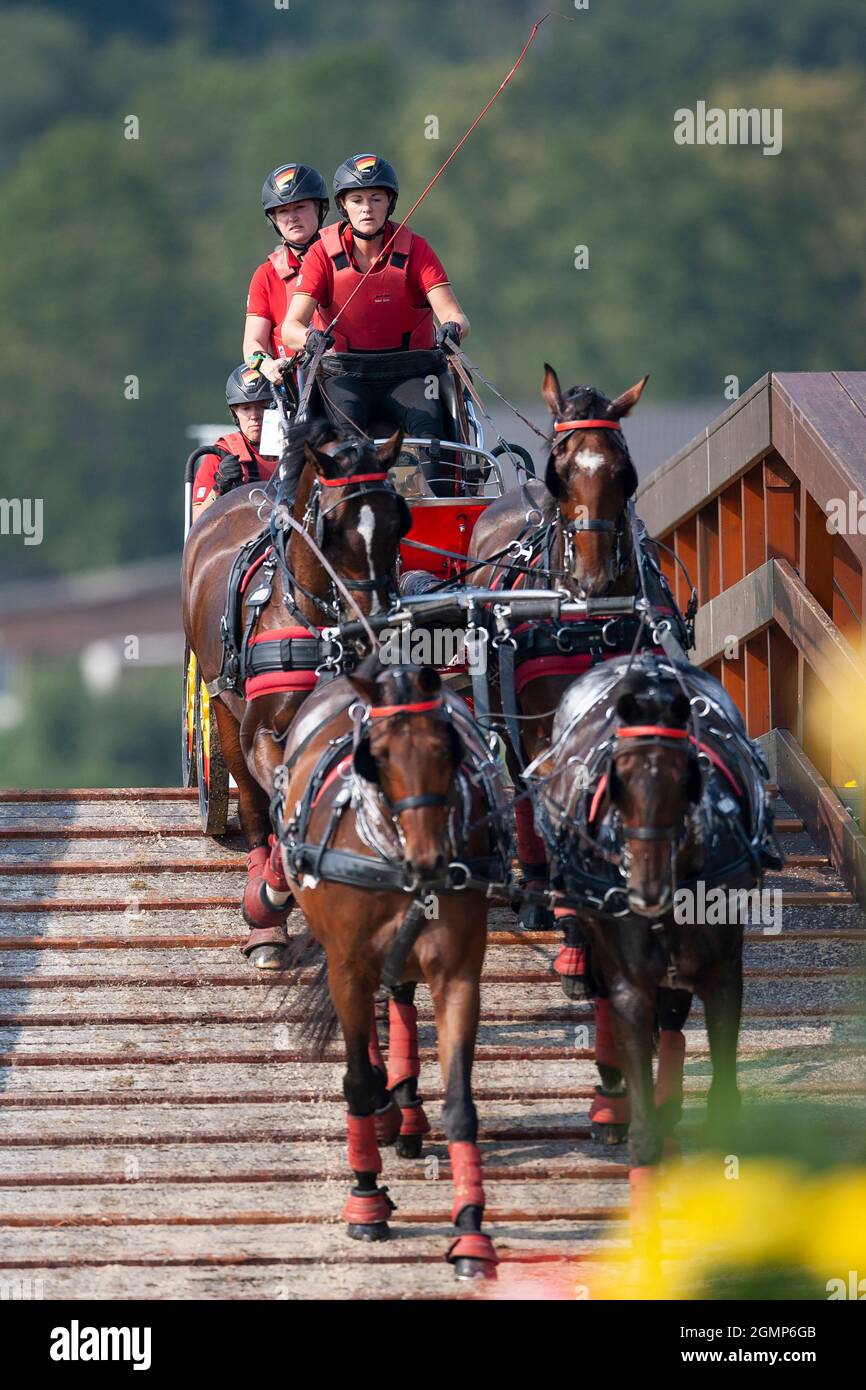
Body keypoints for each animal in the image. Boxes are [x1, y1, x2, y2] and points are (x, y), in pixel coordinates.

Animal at [180, 422, 411, 967]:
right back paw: (264, 915)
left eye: (398, 522)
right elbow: (279, 806)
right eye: (335, 527)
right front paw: (267, 902)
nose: (374, 625)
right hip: (221, 705)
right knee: (253, 805)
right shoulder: (262, 731)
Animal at [273, 661, 511, 1278]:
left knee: (400, 996)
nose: (429, 859)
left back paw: (404, 1112)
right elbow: (357, 1079)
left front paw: (471, 1232)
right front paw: (366, 1201)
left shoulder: (459, 974)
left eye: (447, 748)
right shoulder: (346, 967)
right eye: (374, 755)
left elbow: (461, 1103)